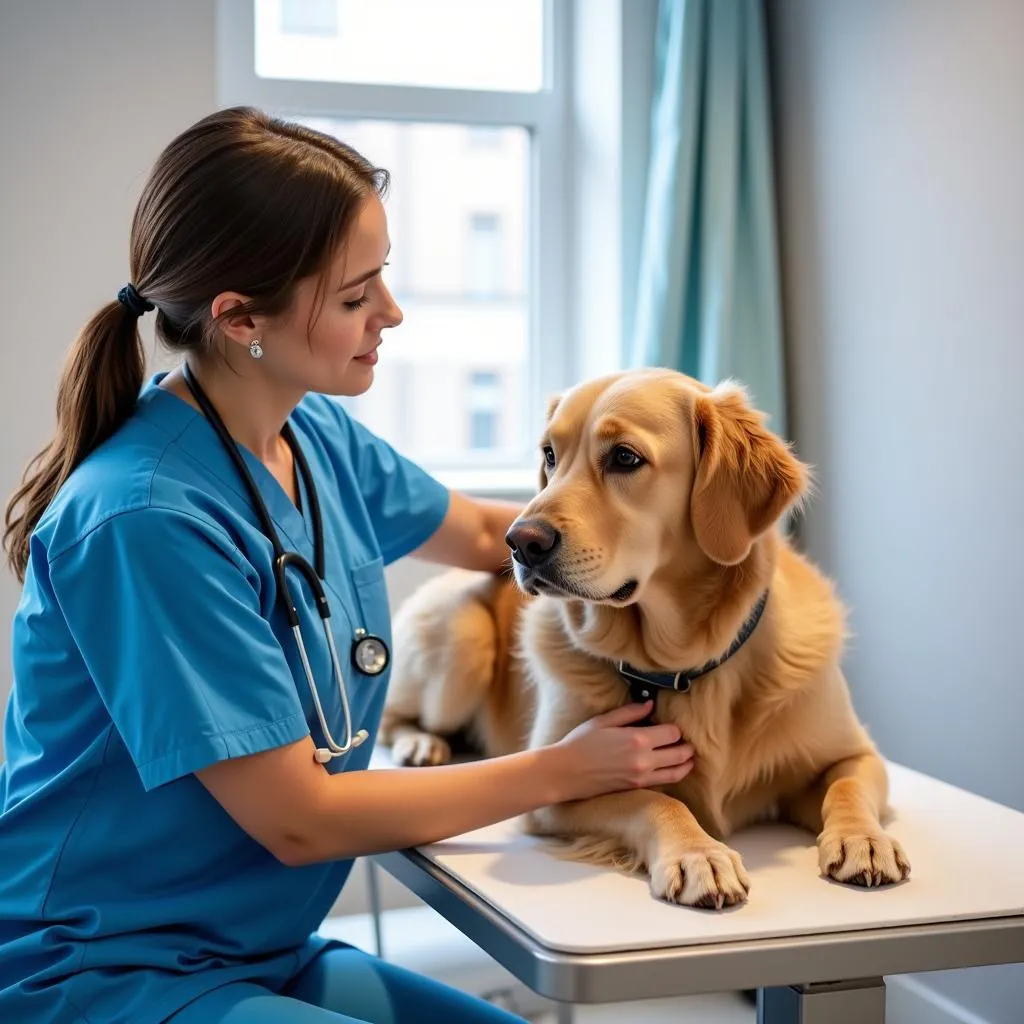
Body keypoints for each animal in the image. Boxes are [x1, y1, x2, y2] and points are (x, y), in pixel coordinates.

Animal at [385, 370, 913, 913]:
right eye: (550, 455)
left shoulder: (856, 754)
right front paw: (700, 855)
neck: (682, 665)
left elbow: (847, 785)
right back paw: (420, 744)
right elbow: (653, 798)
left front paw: (863, 839)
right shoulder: (553, 786)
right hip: (464, 637)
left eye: (625, 457)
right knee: (393, 715)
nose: (520, 541)